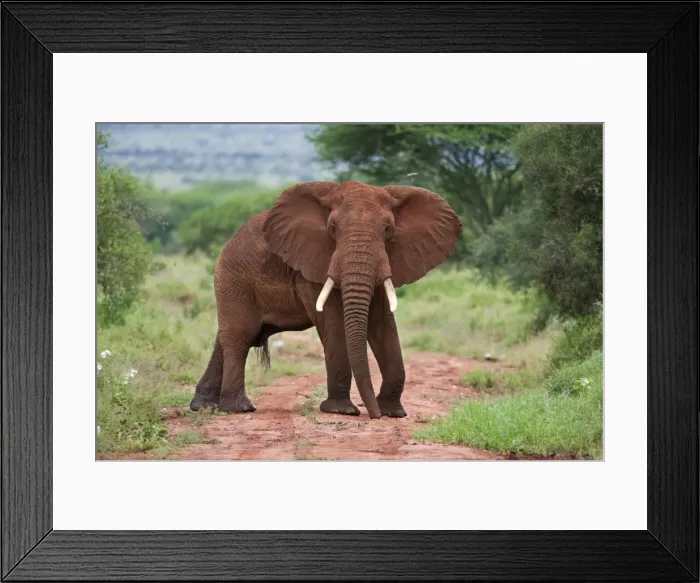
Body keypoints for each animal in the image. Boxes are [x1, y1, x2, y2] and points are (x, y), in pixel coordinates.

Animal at [189, 180, 462, 419]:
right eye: (332, 230)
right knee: (240, 335)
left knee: (227, 337)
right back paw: (239, 408)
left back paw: (203, 406)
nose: (373, 415)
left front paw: (393, 413)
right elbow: (333, 322)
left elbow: (383, 324)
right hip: (233, 277)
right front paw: (342, 410)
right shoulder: (312, 264)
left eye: (388, 230)